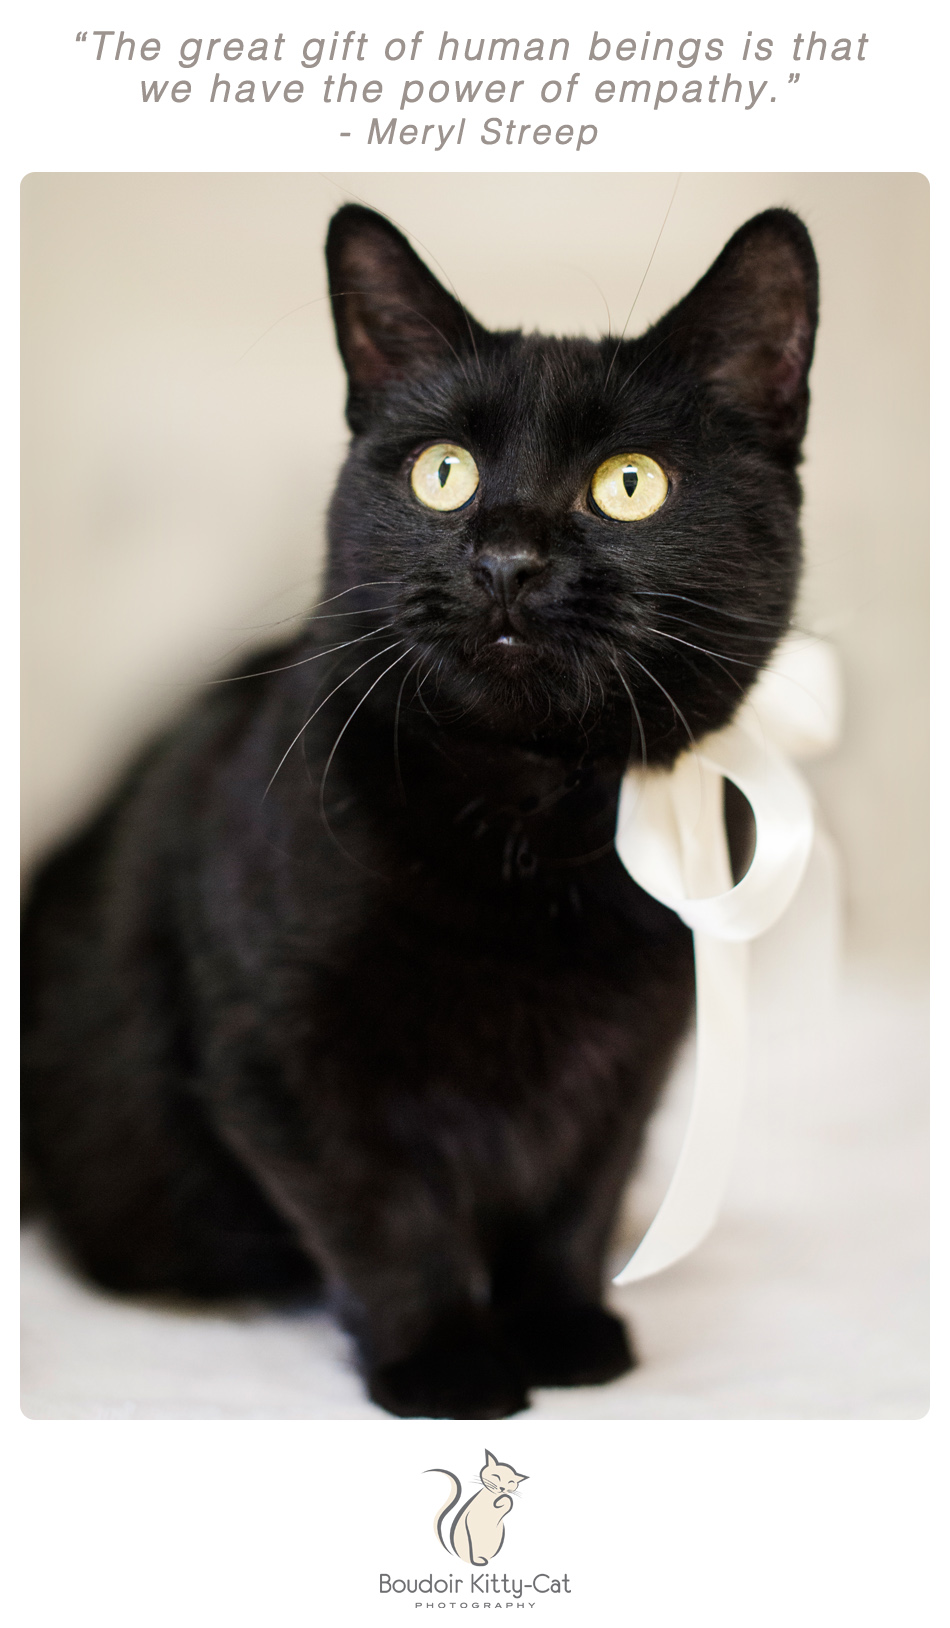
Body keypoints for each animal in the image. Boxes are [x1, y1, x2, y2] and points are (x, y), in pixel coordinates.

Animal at [26, 200, 819, 1413]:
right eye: (443, 473)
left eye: (628, 482)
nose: (506, 558)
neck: (531, 821)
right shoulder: (282, 1057)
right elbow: (387, 1214)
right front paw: (445, 1363)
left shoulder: (629, 1061)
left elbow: (574, 1200)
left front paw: (563, 1333)